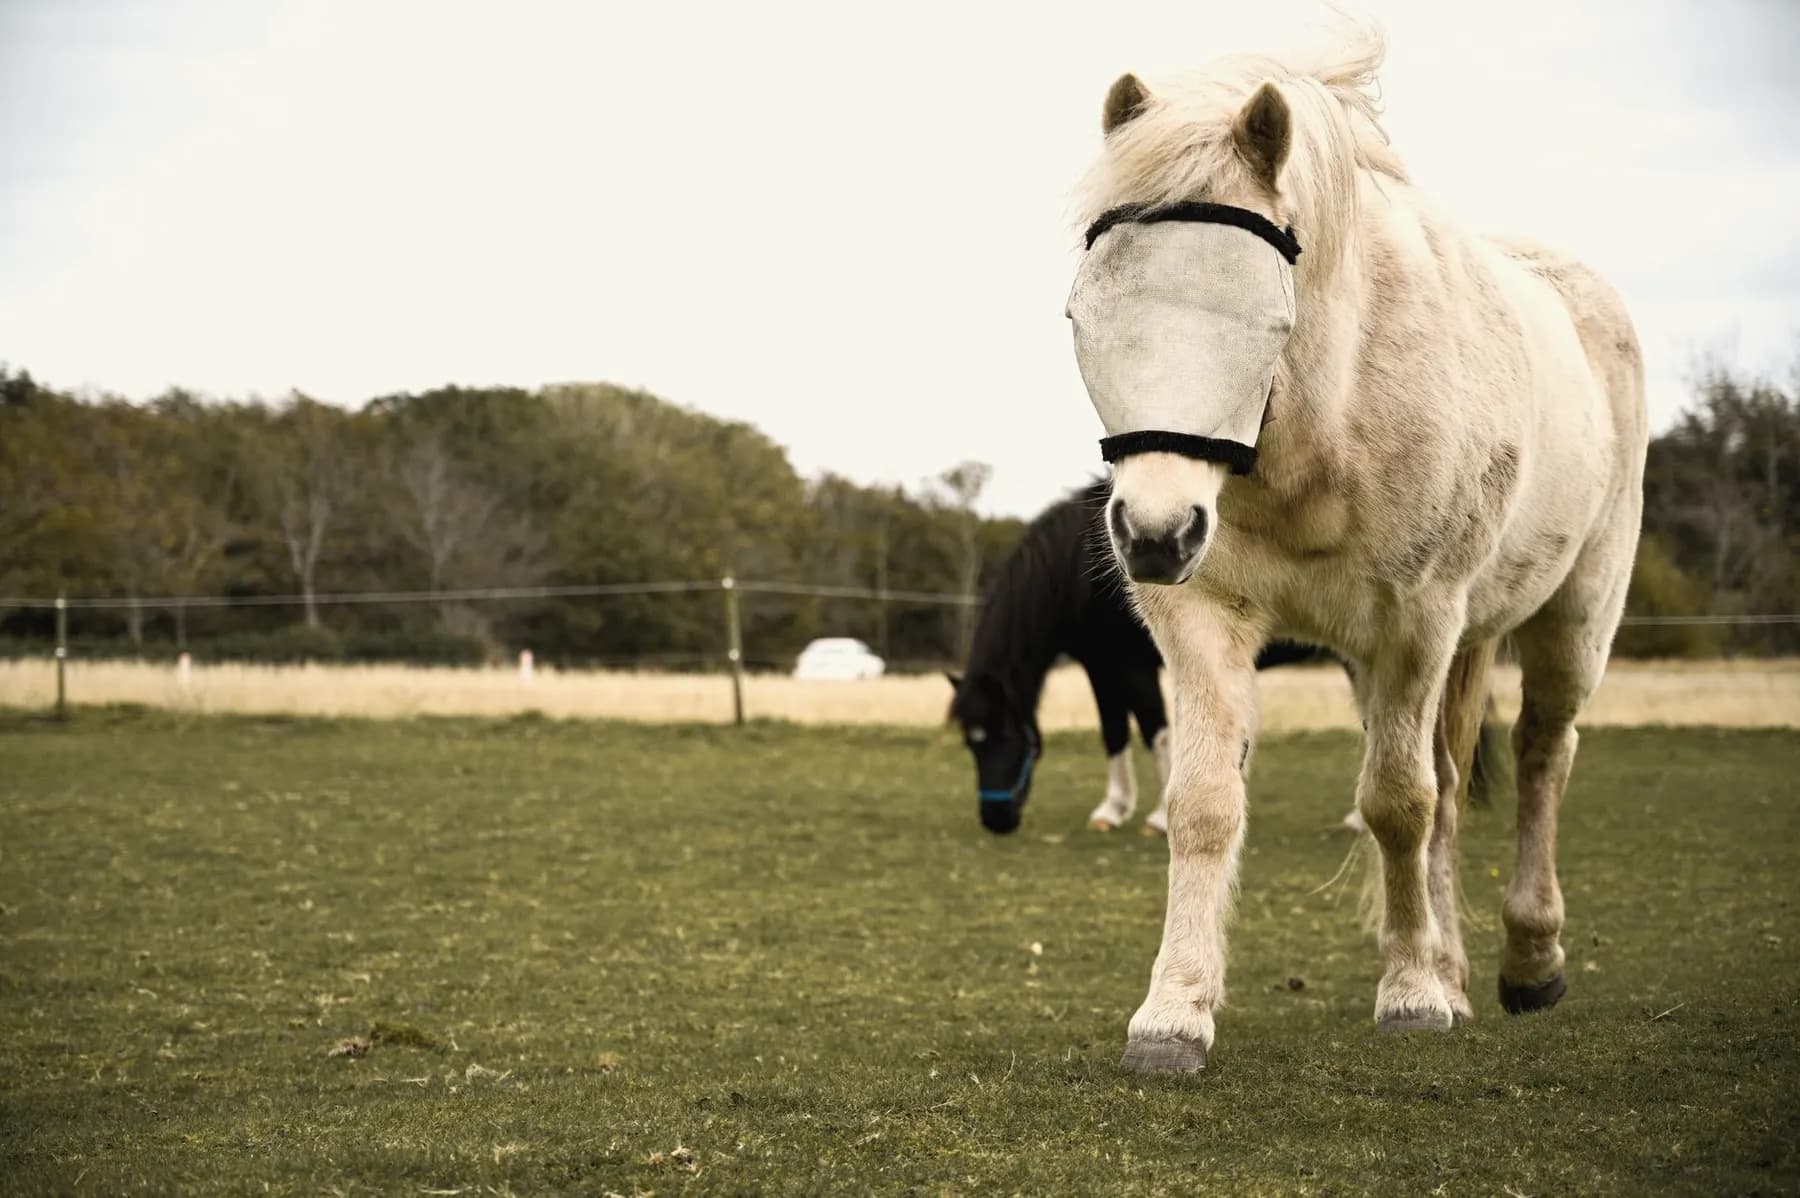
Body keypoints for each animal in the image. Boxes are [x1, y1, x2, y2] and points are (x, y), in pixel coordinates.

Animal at [946, 479, 1328, 836]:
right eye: (970, 741)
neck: (1079, 567)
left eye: (1002, 734)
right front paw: (1112, 810)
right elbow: (1113, 731)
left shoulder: (1134, 666)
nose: (995, 820)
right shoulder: (1101, 666)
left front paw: (1160, 818)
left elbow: (1154, 732)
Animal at [1064, 26, 1646, 1072]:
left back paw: (1529, 960)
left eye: (1270, 321)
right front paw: (1174, 1011)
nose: (1155, 533)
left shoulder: (1415, 622)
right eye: (1082, 317)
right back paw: (1458, 970)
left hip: (1574, 614)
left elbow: (1397, 804)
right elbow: (1206, 803)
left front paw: (1410, 995)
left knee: (1541, 754)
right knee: (1454, 787)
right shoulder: (1201, 619)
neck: (1320, 430)